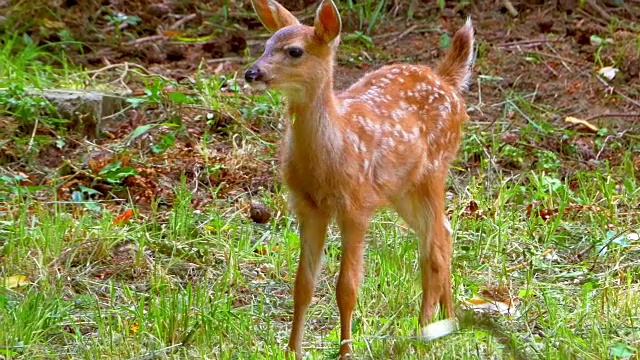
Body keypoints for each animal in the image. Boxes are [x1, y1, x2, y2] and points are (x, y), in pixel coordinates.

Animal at [245, 1, 476, 358]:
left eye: (295, 51)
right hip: (402, 189)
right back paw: (445, 319)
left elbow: (347, 288)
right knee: (443, 232)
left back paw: (427, 329)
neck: (333, 152)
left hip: (435, 169)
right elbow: (302, 285)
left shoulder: (356, 206)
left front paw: (345, 352)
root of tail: (447, 81)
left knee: (435, 243)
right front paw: (292, 351)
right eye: (266, 44)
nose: (252, 73)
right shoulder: (308, 208)